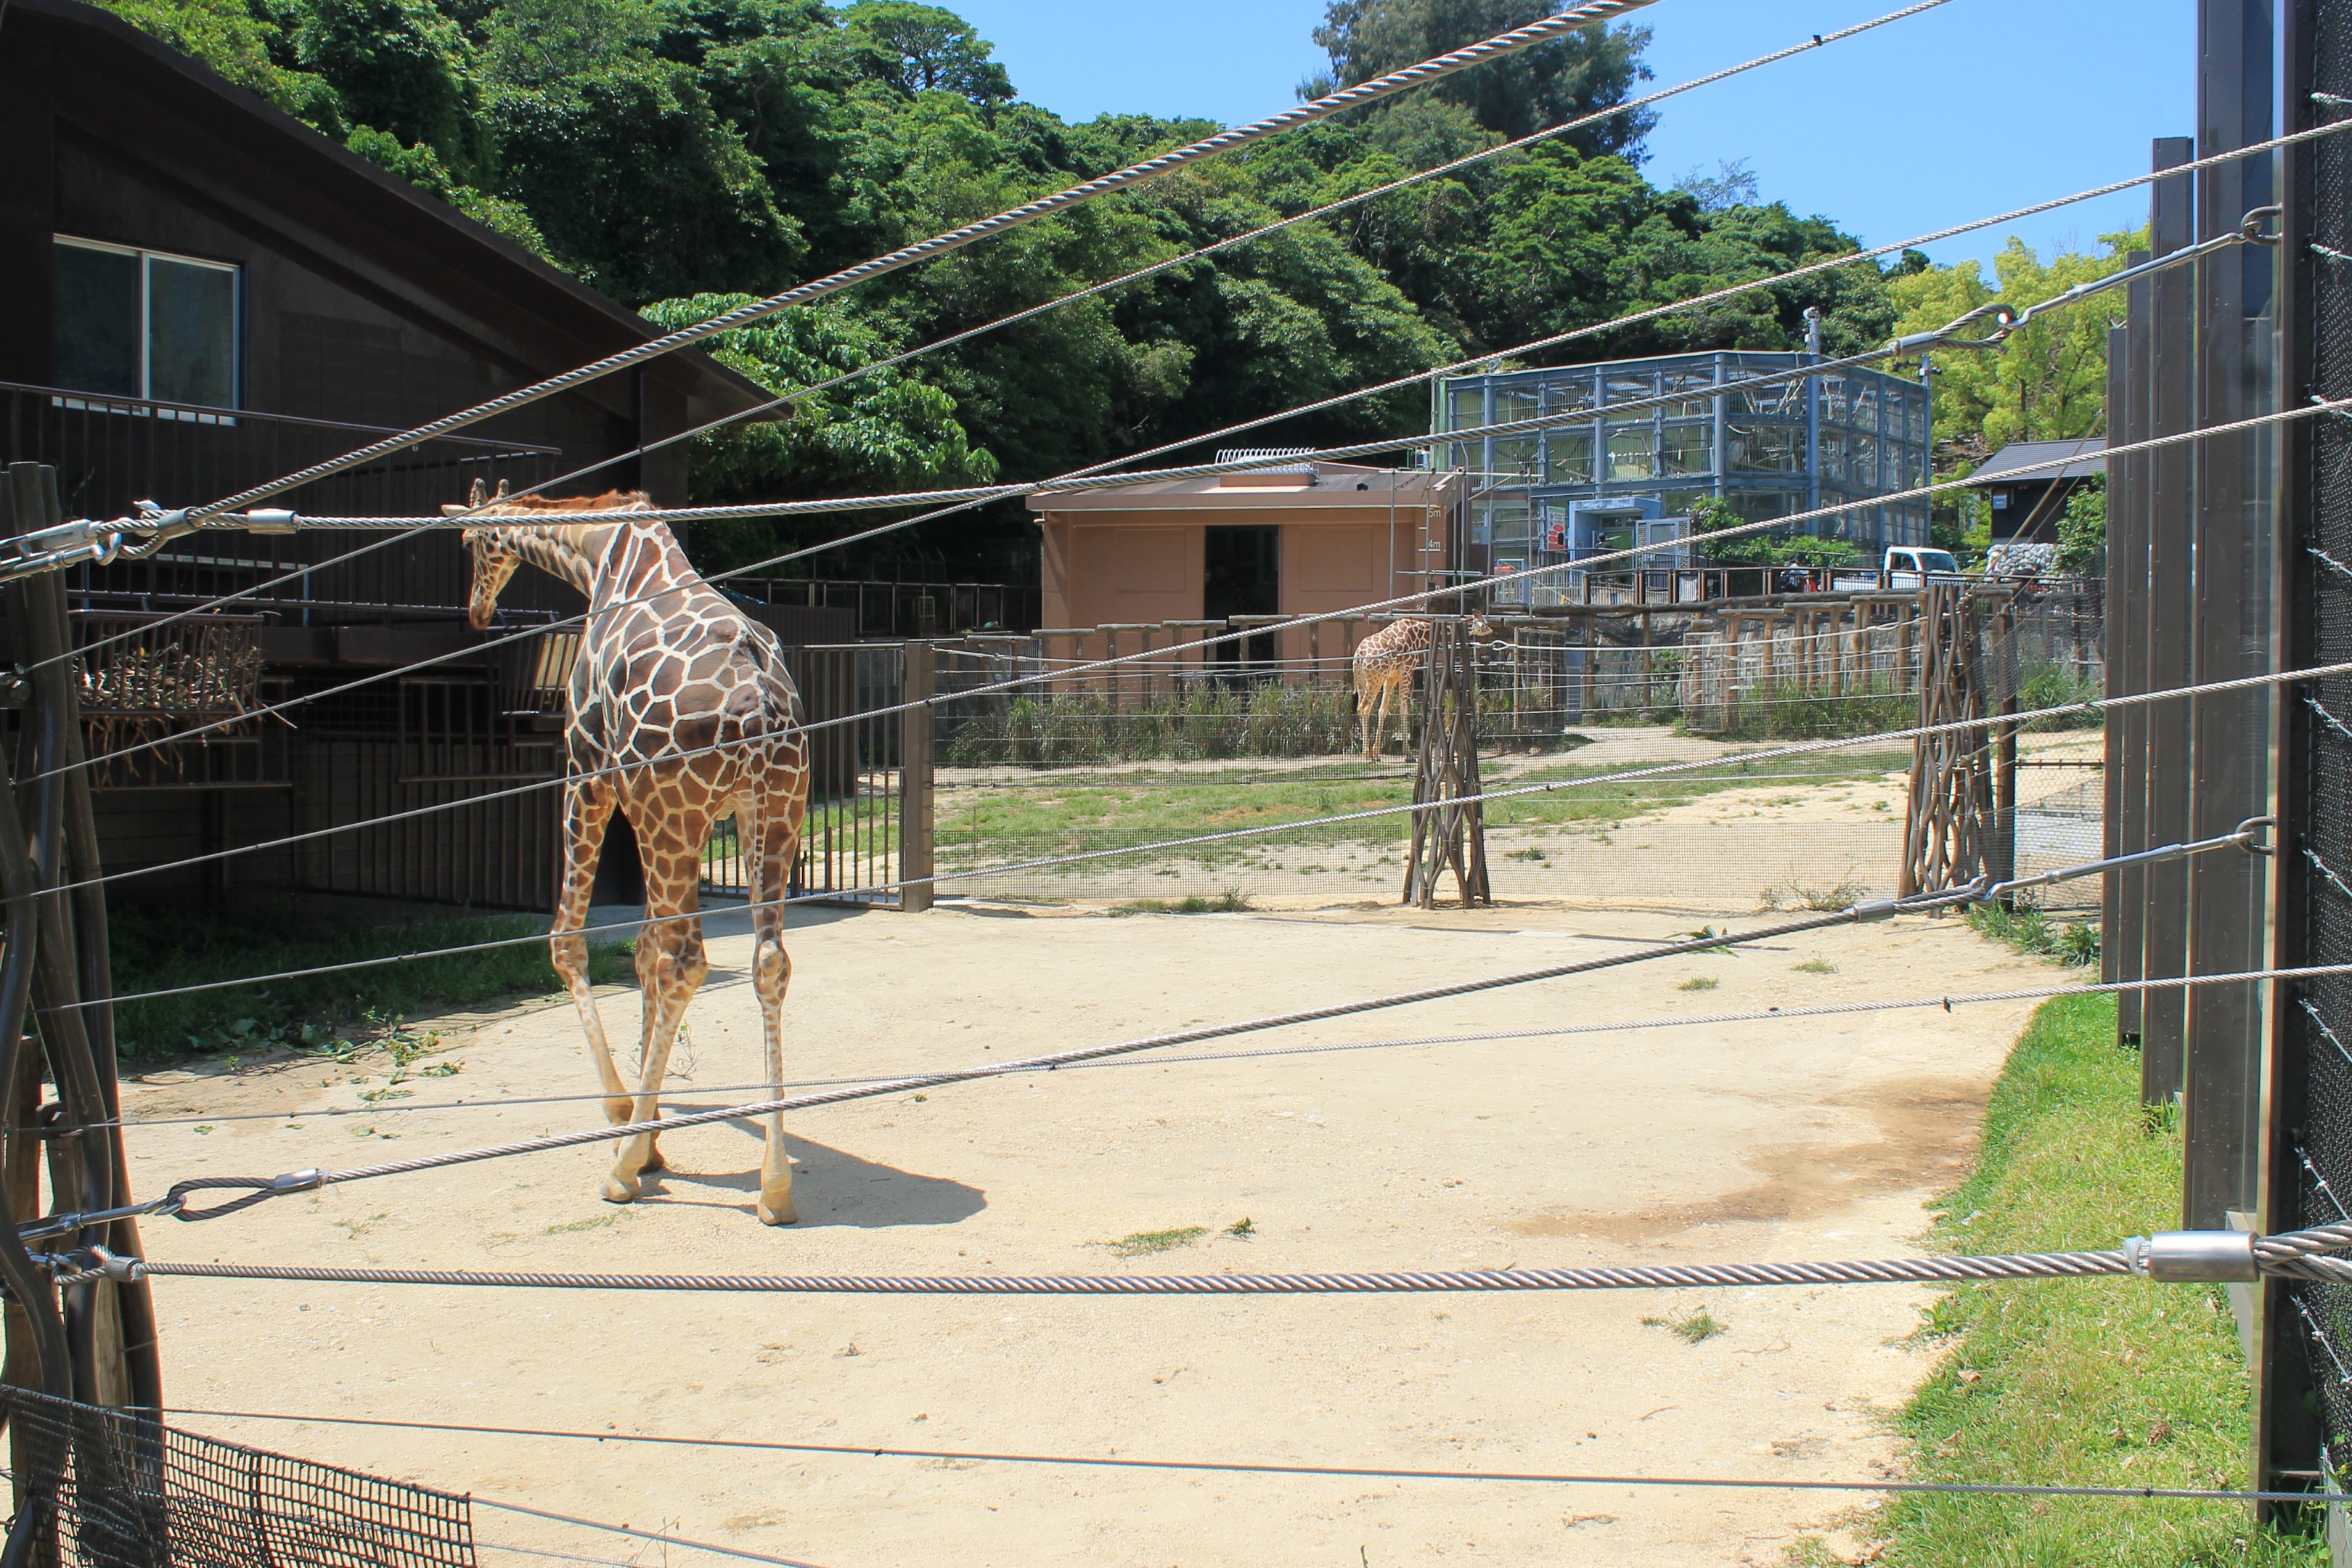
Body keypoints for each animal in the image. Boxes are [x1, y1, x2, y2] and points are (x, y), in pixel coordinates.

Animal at [446, 479, 811, 1224]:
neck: (598, 553)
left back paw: (620, 1171)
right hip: (772, 810)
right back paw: (774, 1186)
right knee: (766, 961)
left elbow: (569, 939)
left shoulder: (585, 770)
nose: (476, 609)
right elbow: (638, 951)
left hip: (670, 814)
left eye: (471, 543)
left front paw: (626, 1121)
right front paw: (654, 1132)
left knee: (685, 961)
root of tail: (762, 703)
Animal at [1351, 614, 1493, 761]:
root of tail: (1359, 654)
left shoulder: (1392, 677)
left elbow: (1383, 710)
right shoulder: (1407, 671)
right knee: (1365, 707)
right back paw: (1366, 755)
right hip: (1375, 678)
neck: (1418, 633)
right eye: (1484, 624)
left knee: (1360, 707)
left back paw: (1367, 753)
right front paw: (1407, 754)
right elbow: (1404, 709)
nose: (1491, 630)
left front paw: (1376, 753)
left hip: (1362, 678)